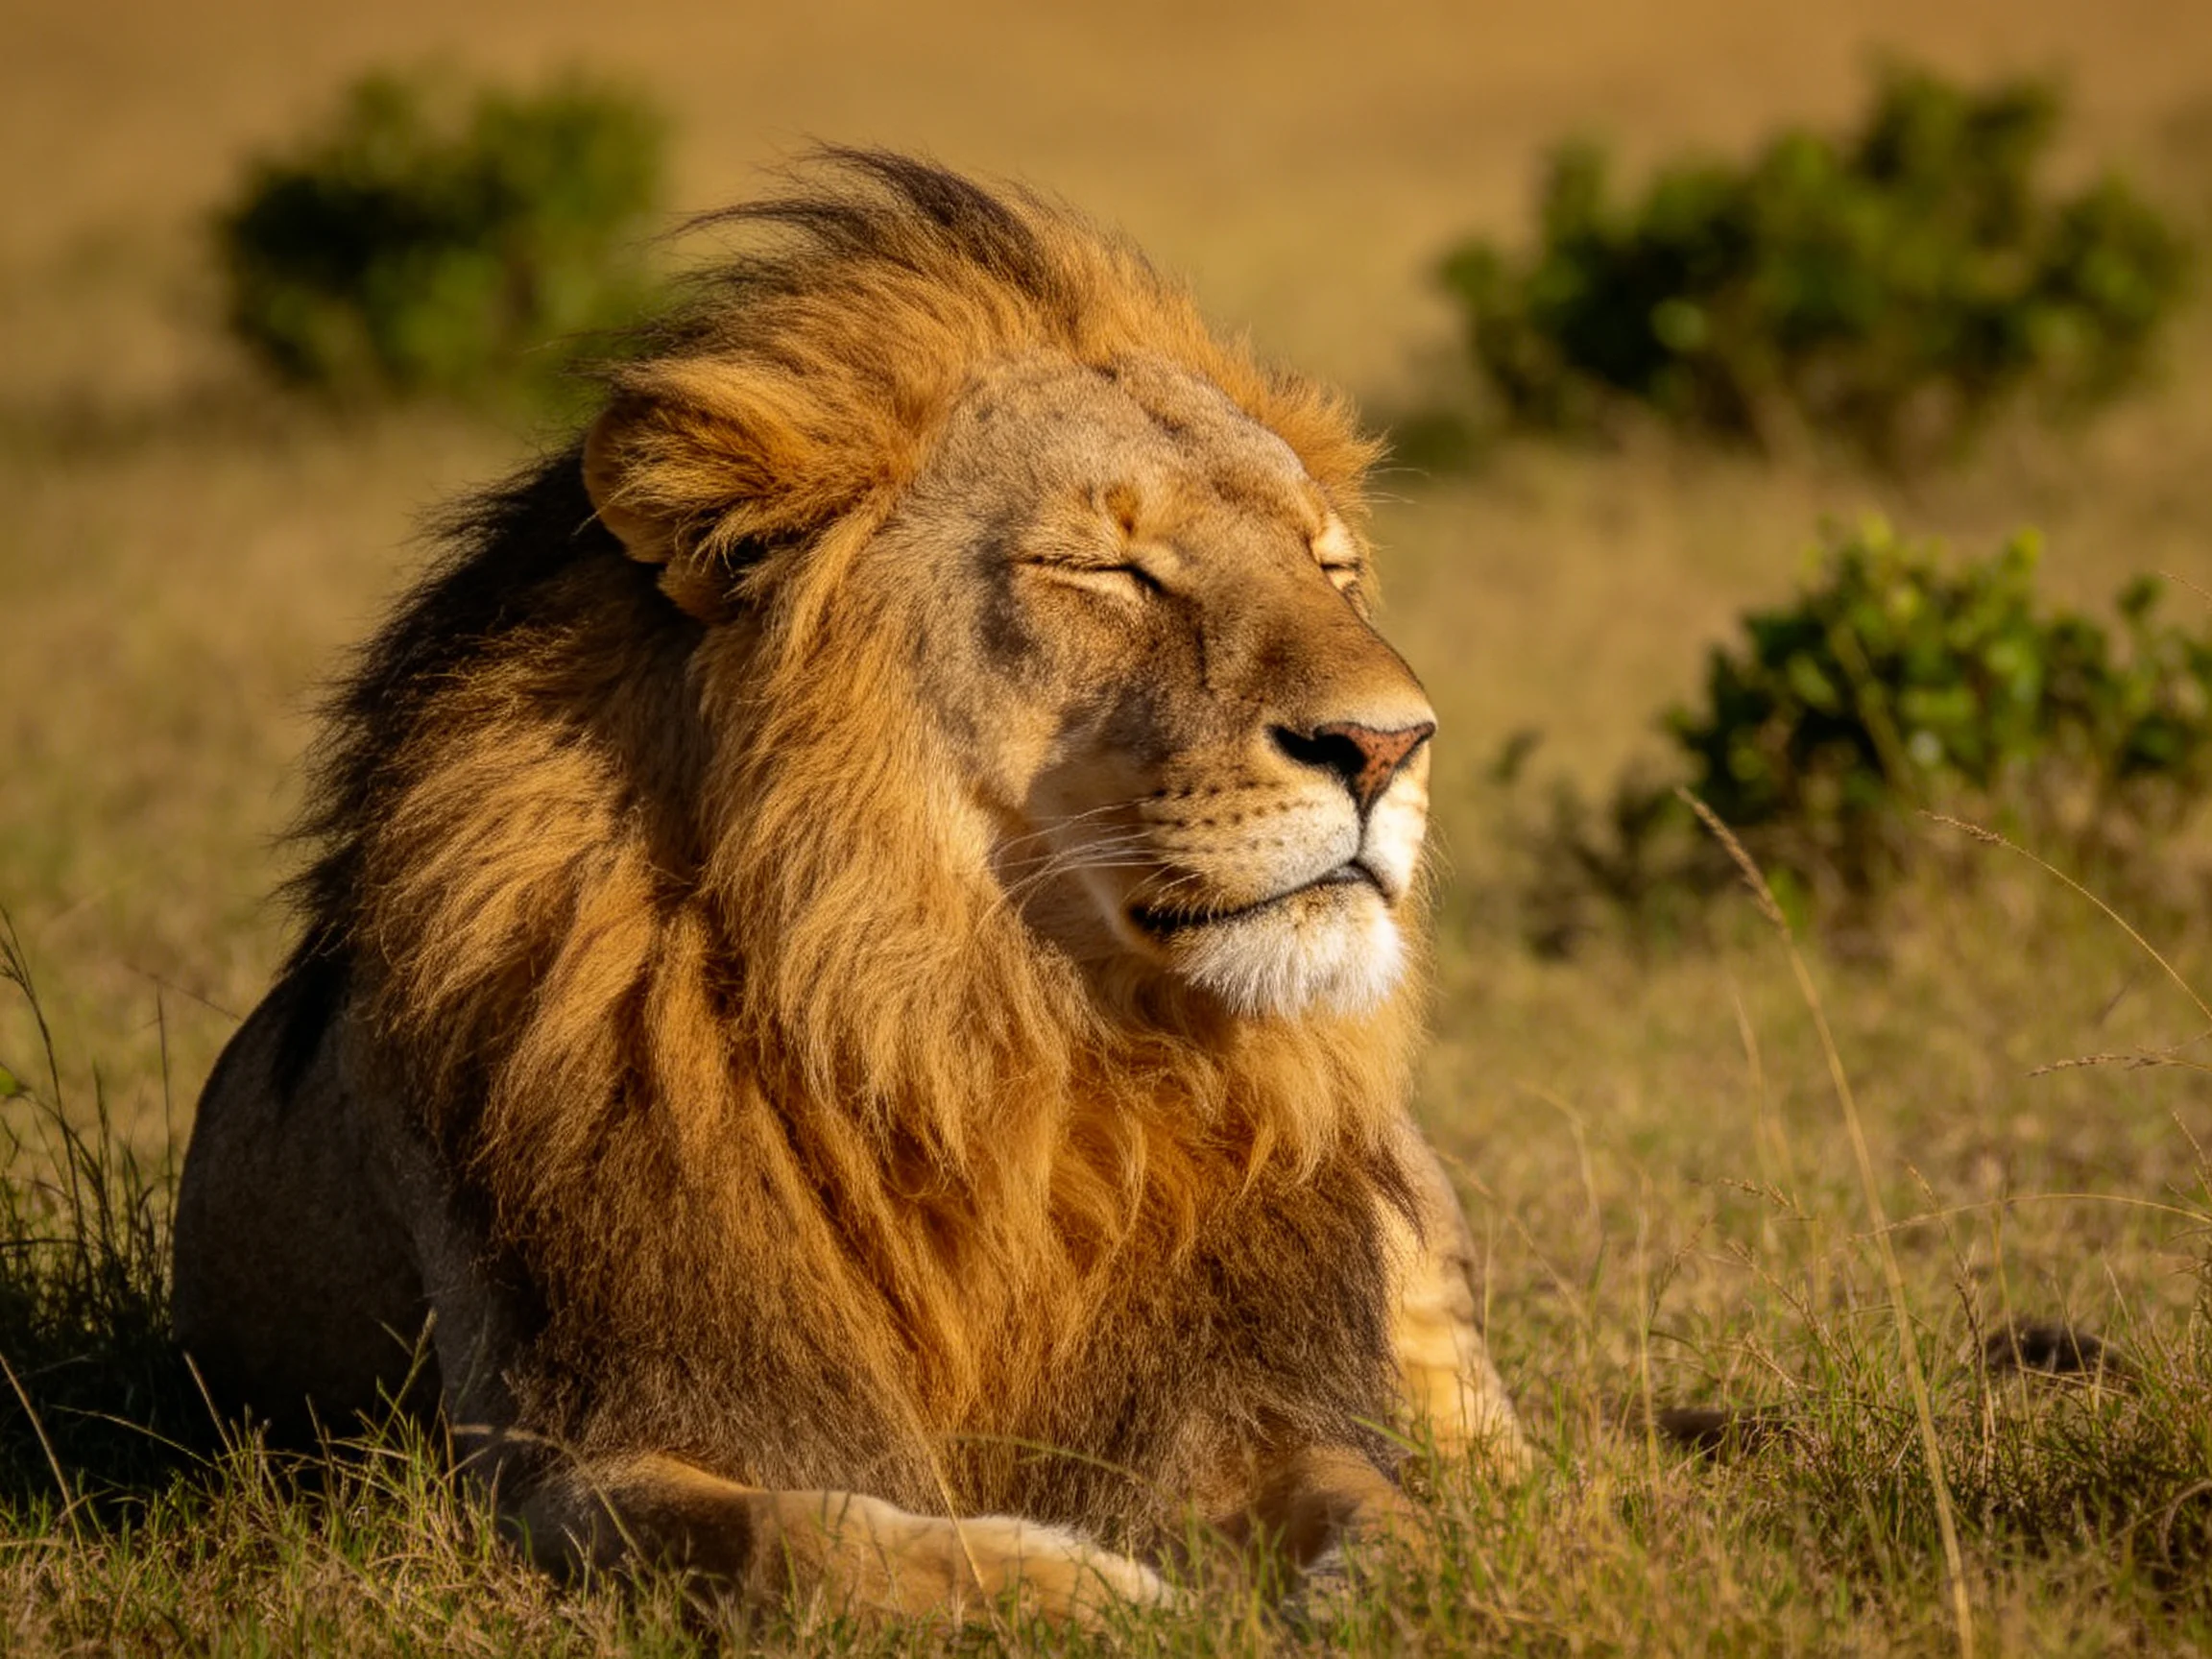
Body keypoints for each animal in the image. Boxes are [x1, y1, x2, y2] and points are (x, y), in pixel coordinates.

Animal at [171, 151, 1524, 1623]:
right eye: (1105, 568)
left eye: (1331, 566)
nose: (1392, 744)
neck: (974, 1030)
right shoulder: (572, 1448)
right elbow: (799, 1538)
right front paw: (1081, 1590)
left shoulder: (1244, 1402)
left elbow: (1387, 1515)